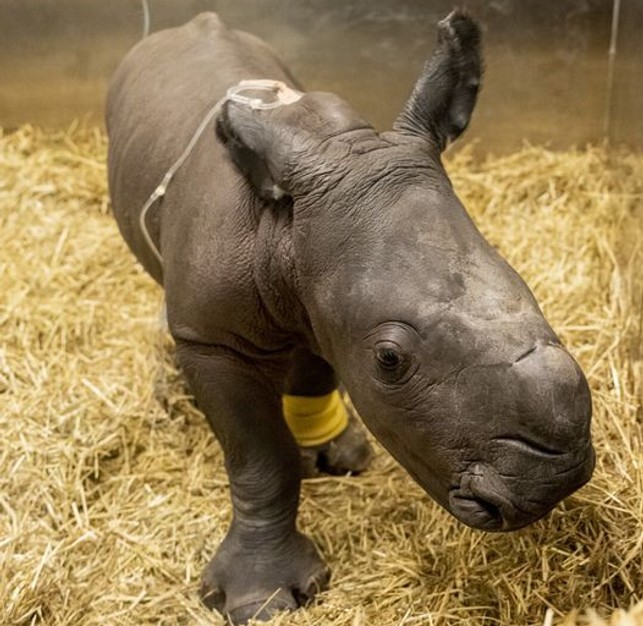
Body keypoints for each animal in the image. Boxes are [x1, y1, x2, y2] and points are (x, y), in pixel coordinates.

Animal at [104, 8, 592, 620]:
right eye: (390, 359)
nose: (551, 482)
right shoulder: (214, 339)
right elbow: (261, 458)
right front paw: (262, 600)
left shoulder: (326, 301)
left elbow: (316, 371)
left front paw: (334, 452)